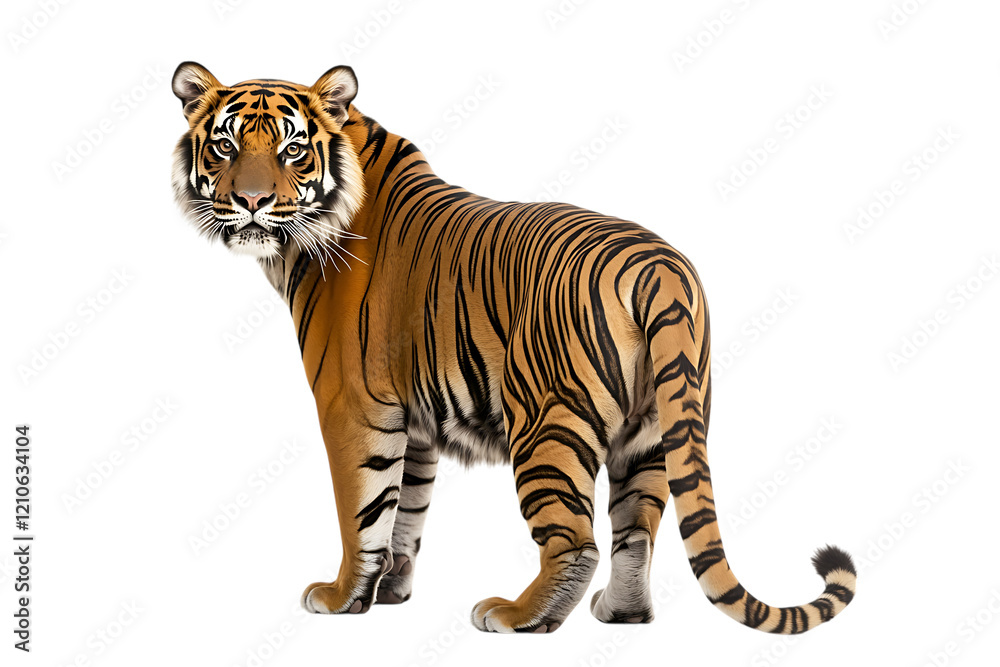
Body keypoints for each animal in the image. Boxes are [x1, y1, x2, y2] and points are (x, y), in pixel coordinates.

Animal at [171, 61, 857, 634]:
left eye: (292, 149)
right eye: (227, 145)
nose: (252, 202)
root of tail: (657, 265)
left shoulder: (354, 408)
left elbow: (363, 510)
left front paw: (342, 598)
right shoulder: (415, 421)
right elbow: (406, 511)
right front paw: (390, 592)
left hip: (546, 424)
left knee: (576, 540)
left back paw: (517, 615)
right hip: (657, 431)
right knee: (637, 532)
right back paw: (622, 613)